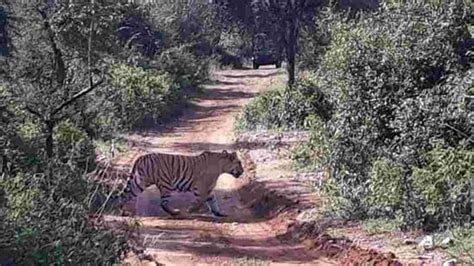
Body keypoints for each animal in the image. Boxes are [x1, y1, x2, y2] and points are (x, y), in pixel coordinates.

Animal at [111, 151, 244, 217]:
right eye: (239, 163)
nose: (243, 171)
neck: (221, 166)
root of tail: (140, 157)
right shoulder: (202, 189)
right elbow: (199, 202)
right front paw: (189, 210)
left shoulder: (209, 190)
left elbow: (213, 202)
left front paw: (219, 213)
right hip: (163, 184)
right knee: (163, 203)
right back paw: (175, 212)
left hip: (138, 183)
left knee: (125, 195)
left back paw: (121, 211)